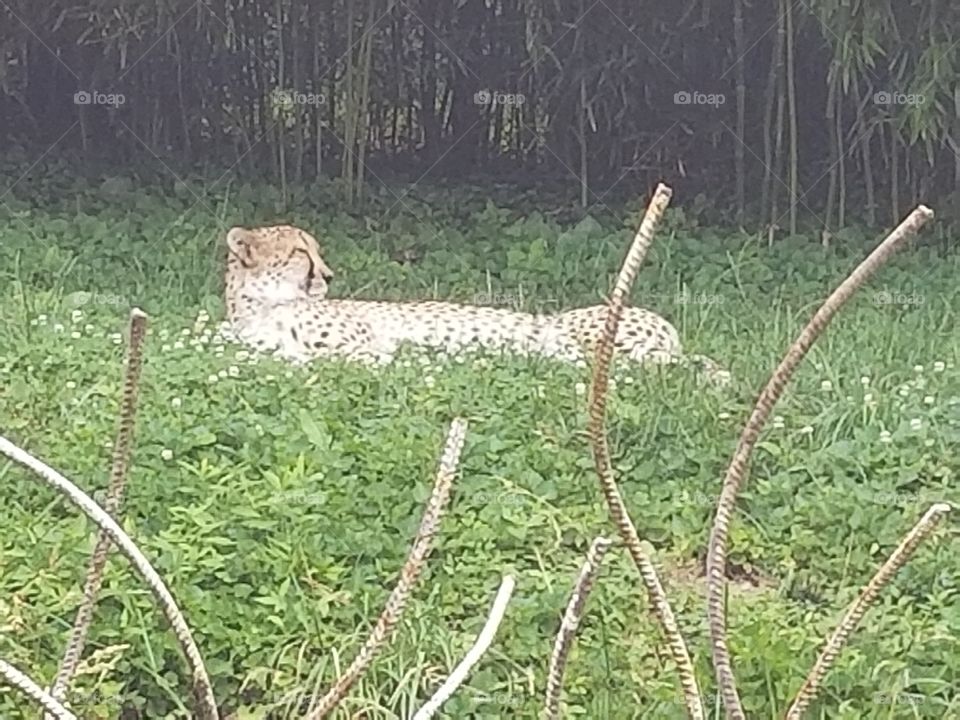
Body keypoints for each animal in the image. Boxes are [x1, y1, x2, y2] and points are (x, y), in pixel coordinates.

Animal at [222, 224, 730, 384]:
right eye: (299, 252)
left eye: (314, 249)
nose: (327, 276)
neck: (262, 304)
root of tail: (668, 327)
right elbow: (292, 358)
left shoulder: (365, 346)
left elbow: (353, 357)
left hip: (577, 341)